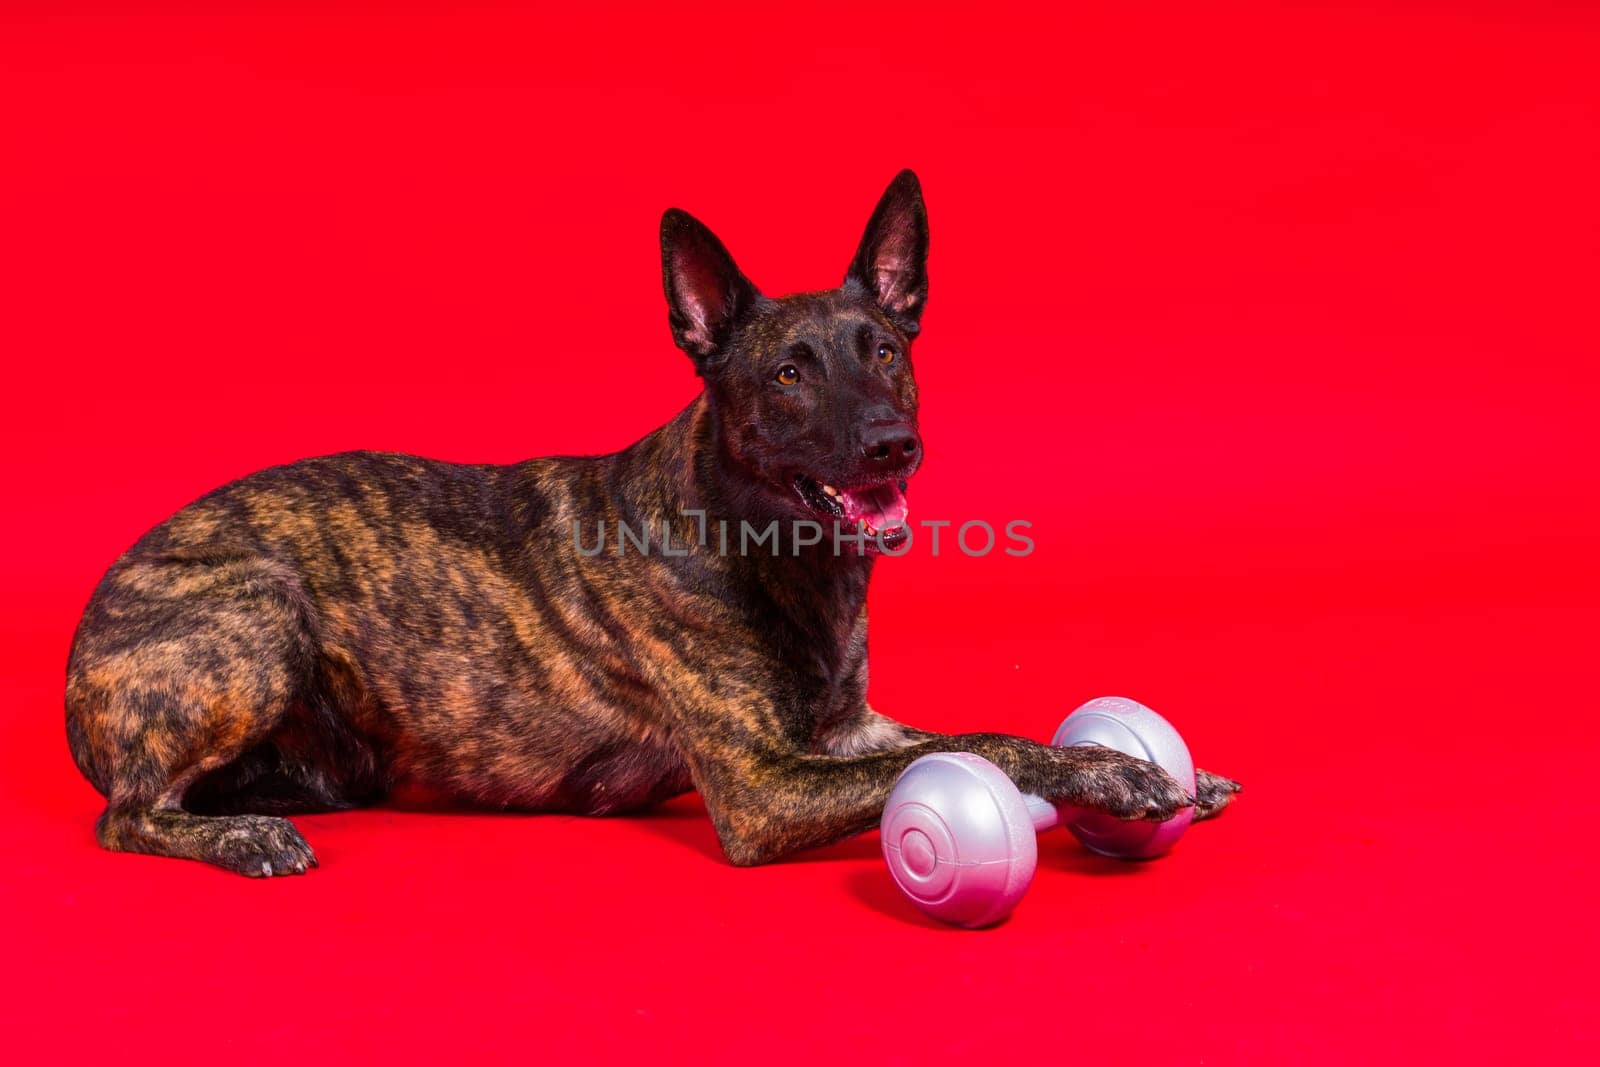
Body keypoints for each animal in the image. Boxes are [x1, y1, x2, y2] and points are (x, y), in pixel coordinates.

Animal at [62, 173, 1235, 876]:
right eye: (789, 373)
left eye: (887, 350)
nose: (892, 445)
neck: (763, 544)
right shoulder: (764, 789)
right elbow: (979, 745)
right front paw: (1115, 774)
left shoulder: (852, 731)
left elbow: (990, 730)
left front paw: (1131, 763)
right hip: (262, 606)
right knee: (125, 814)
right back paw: (244, 833)